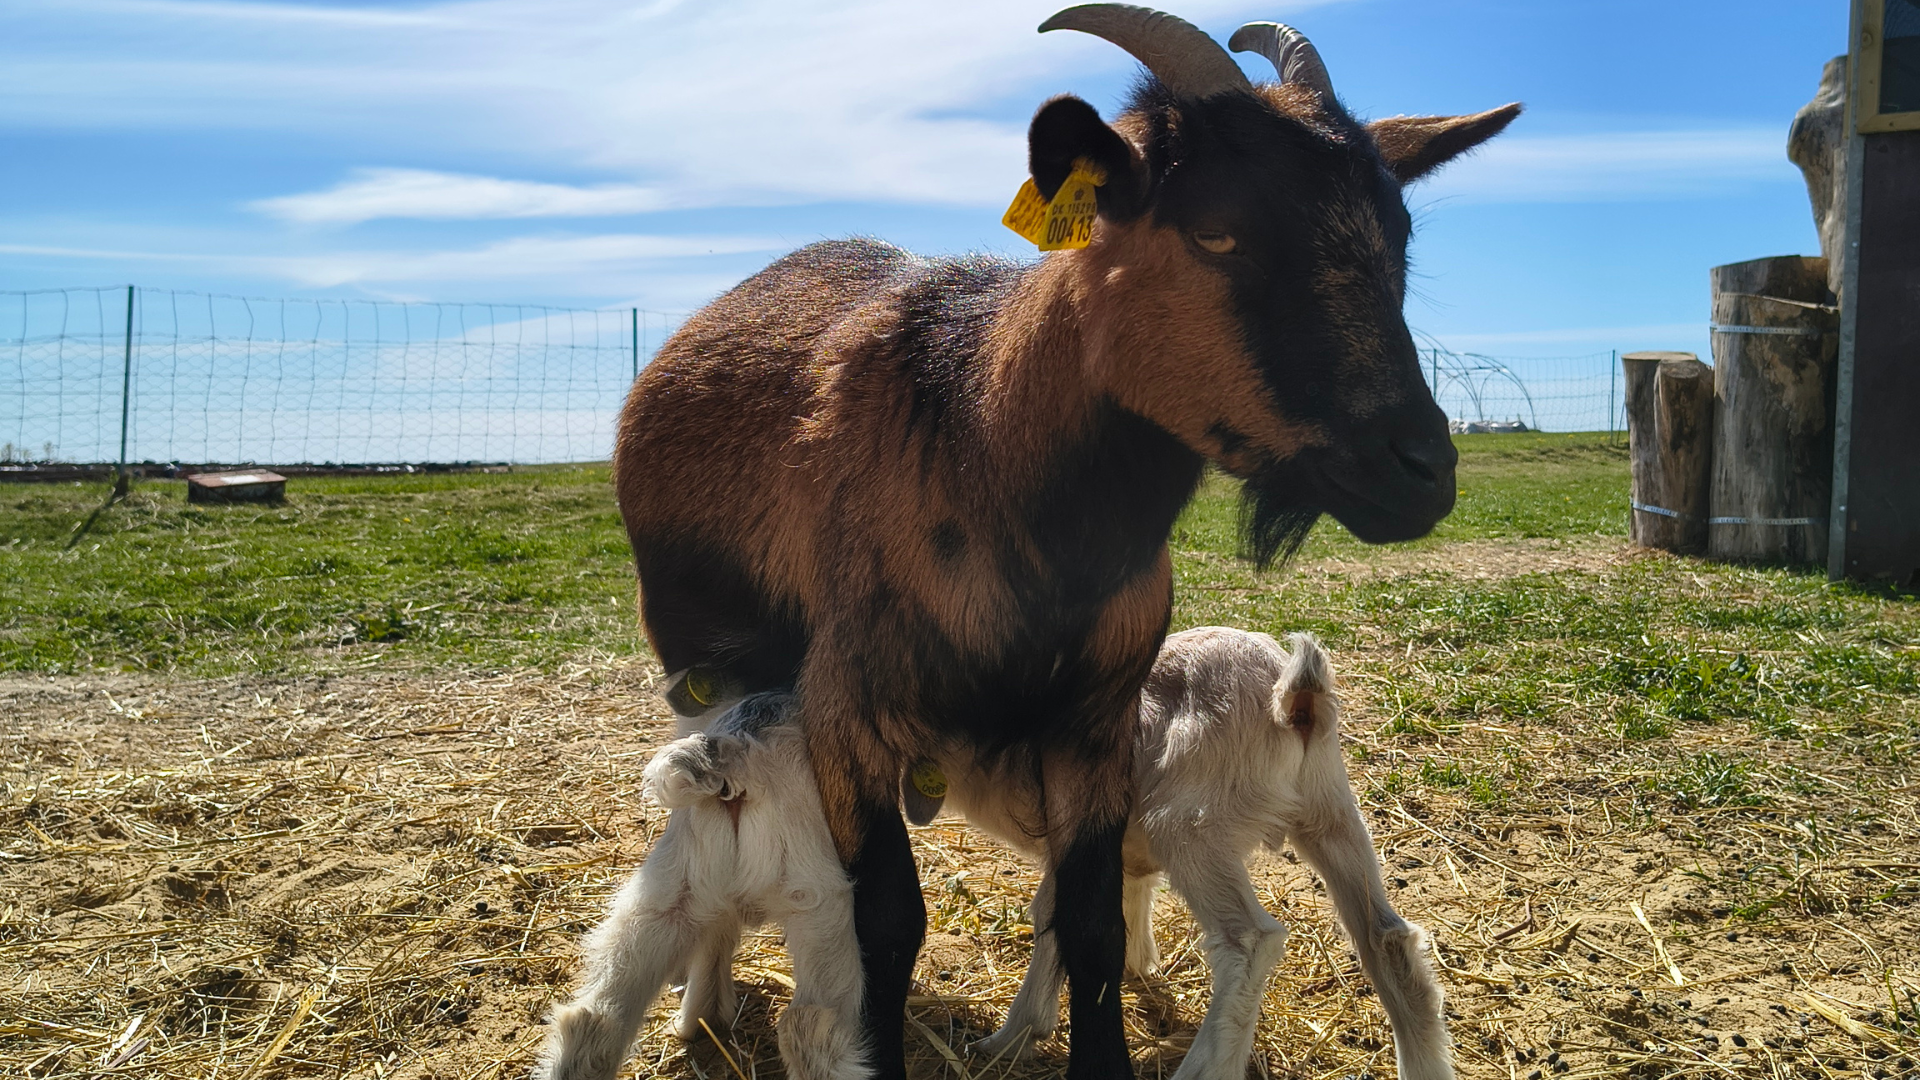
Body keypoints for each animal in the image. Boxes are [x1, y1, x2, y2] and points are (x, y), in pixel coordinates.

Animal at [536, 692, 868, 1080]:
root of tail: (733, 750)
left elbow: (714, 941)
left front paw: (703, 1016)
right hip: (816, 900)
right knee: (810, 1026)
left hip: (664, 895)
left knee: (593, 1020)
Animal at [937, 628, 1450, 1080]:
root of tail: (1292, 694)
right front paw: (1136, 966)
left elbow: (1061, 913)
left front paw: (1012, 1036)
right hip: (1331, 812)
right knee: (1386, 938)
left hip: (1191, 826)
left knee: (1249, 941)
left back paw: (1204, 1066)